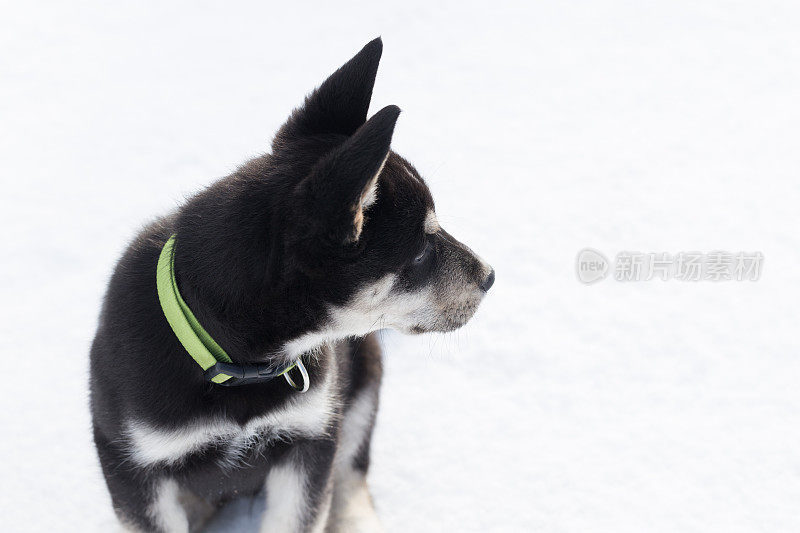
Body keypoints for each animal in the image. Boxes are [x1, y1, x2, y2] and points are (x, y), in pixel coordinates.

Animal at [90, 38, 496, 532]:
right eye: (419, 253)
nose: (490, 276)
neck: (234, 363)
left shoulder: (309, 439)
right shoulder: (132, 467)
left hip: (362, 380)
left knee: (352, 473)